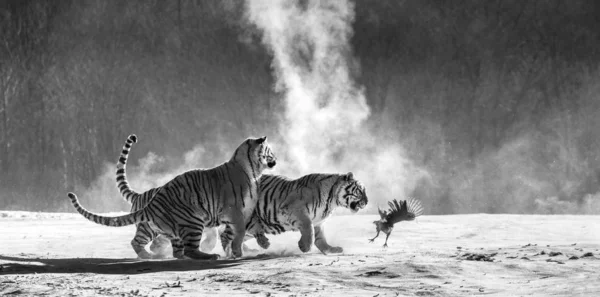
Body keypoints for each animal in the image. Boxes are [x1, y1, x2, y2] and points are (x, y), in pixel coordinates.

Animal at [67, 135, 278, 260]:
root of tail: (150, 200)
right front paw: (237, 251)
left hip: (162, 228)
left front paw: (259, 244)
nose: (276, 159)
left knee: (171, 248)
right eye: (270, 151)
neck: (251, 168)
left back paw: (161, 255)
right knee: (186, 248)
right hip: (190, 222)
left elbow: (241, 231)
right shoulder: (235, 211)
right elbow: (239, 232)